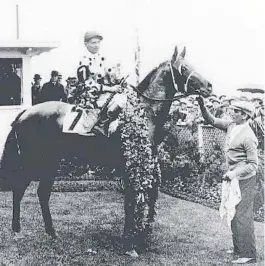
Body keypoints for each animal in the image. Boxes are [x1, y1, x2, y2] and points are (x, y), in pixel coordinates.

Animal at [0, 46, 210, 256]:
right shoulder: (130, 166)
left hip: (51, 162)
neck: (144, 111)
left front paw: (140, 238)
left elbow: (145, 197)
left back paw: (51, 232)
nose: (209, 86)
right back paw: (17, 230)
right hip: (32, 161)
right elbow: (131, 201)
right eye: (183, 68)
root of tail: (25, 112)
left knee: (42, 193)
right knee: (19, 189)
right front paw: (129, 244)